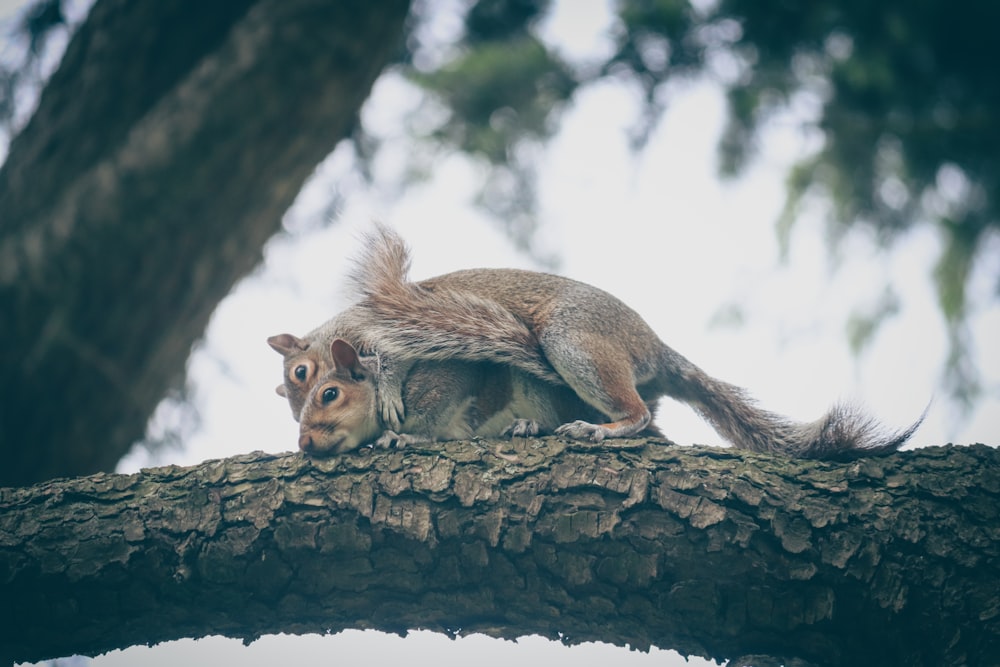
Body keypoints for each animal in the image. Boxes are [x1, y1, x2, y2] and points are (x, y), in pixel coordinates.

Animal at [294, 340, 608, 454]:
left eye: (330, 394)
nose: (304, 443)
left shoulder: (448, 377)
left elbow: (433, 418)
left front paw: (406, 437)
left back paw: (530, 424)